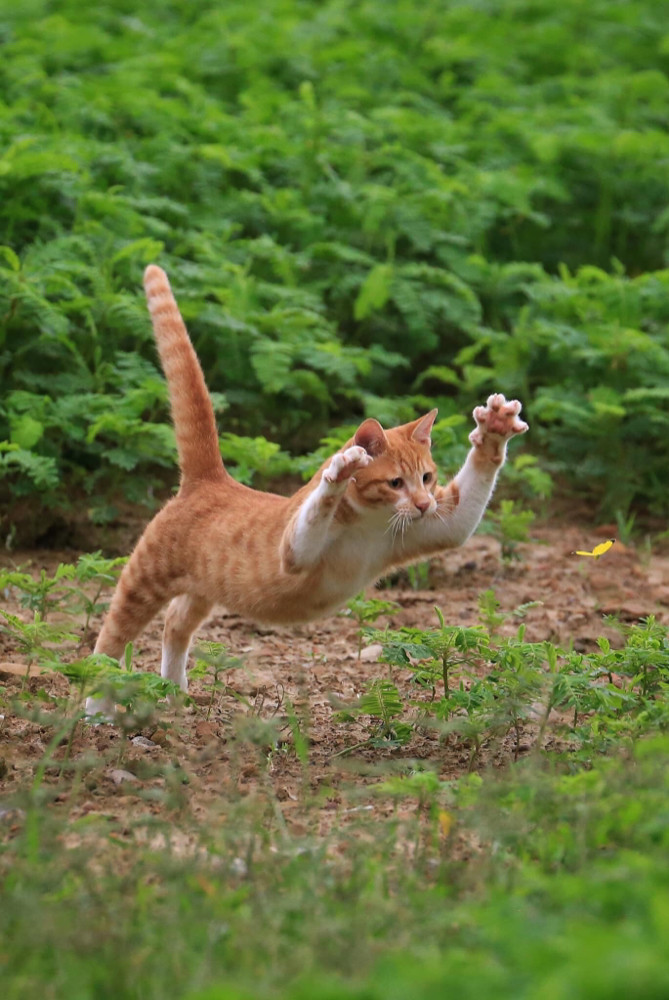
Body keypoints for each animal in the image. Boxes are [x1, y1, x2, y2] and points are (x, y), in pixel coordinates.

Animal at [85, 266, 528, 720]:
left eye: (427, 478)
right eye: (395, 483)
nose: (424, 505)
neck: (370, 524)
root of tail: (209, 479)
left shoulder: (440, 526)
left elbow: (464, 513)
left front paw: (494, 430)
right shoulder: (292, 552)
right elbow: (318, 506)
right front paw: (340, 469)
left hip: (204, 590)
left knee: (174, 624)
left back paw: (173, 690)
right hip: (145, 579)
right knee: (108, 641)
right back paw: (97, 709)